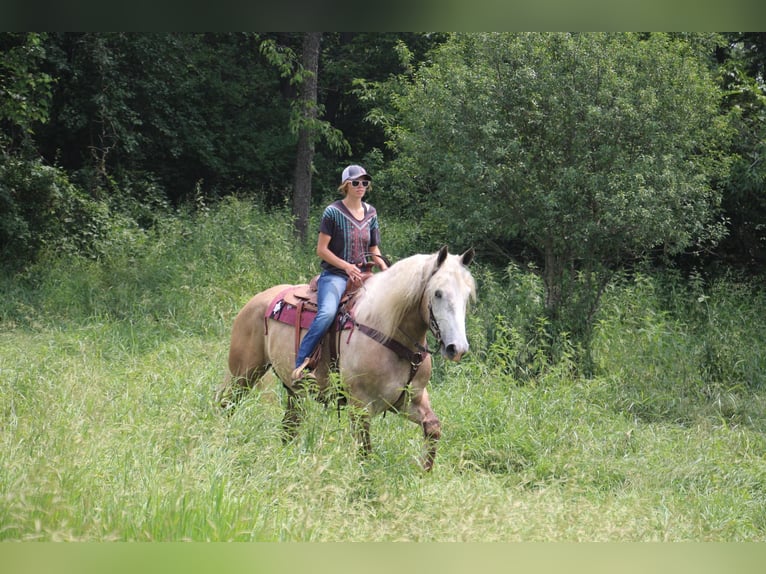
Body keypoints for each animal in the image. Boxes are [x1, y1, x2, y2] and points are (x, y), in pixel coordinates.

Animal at [214, 248, 474, 472]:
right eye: (438, 293)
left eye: (467, 296)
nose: (457, 348)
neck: (388, 331)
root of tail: (257, 300)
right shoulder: (360, 406)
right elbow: (365, 452)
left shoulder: (410, 400)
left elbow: (433, 428)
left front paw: (424, 474)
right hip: (243, 374)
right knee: (226, 404)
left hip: (293, 390)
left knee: (289, 427)